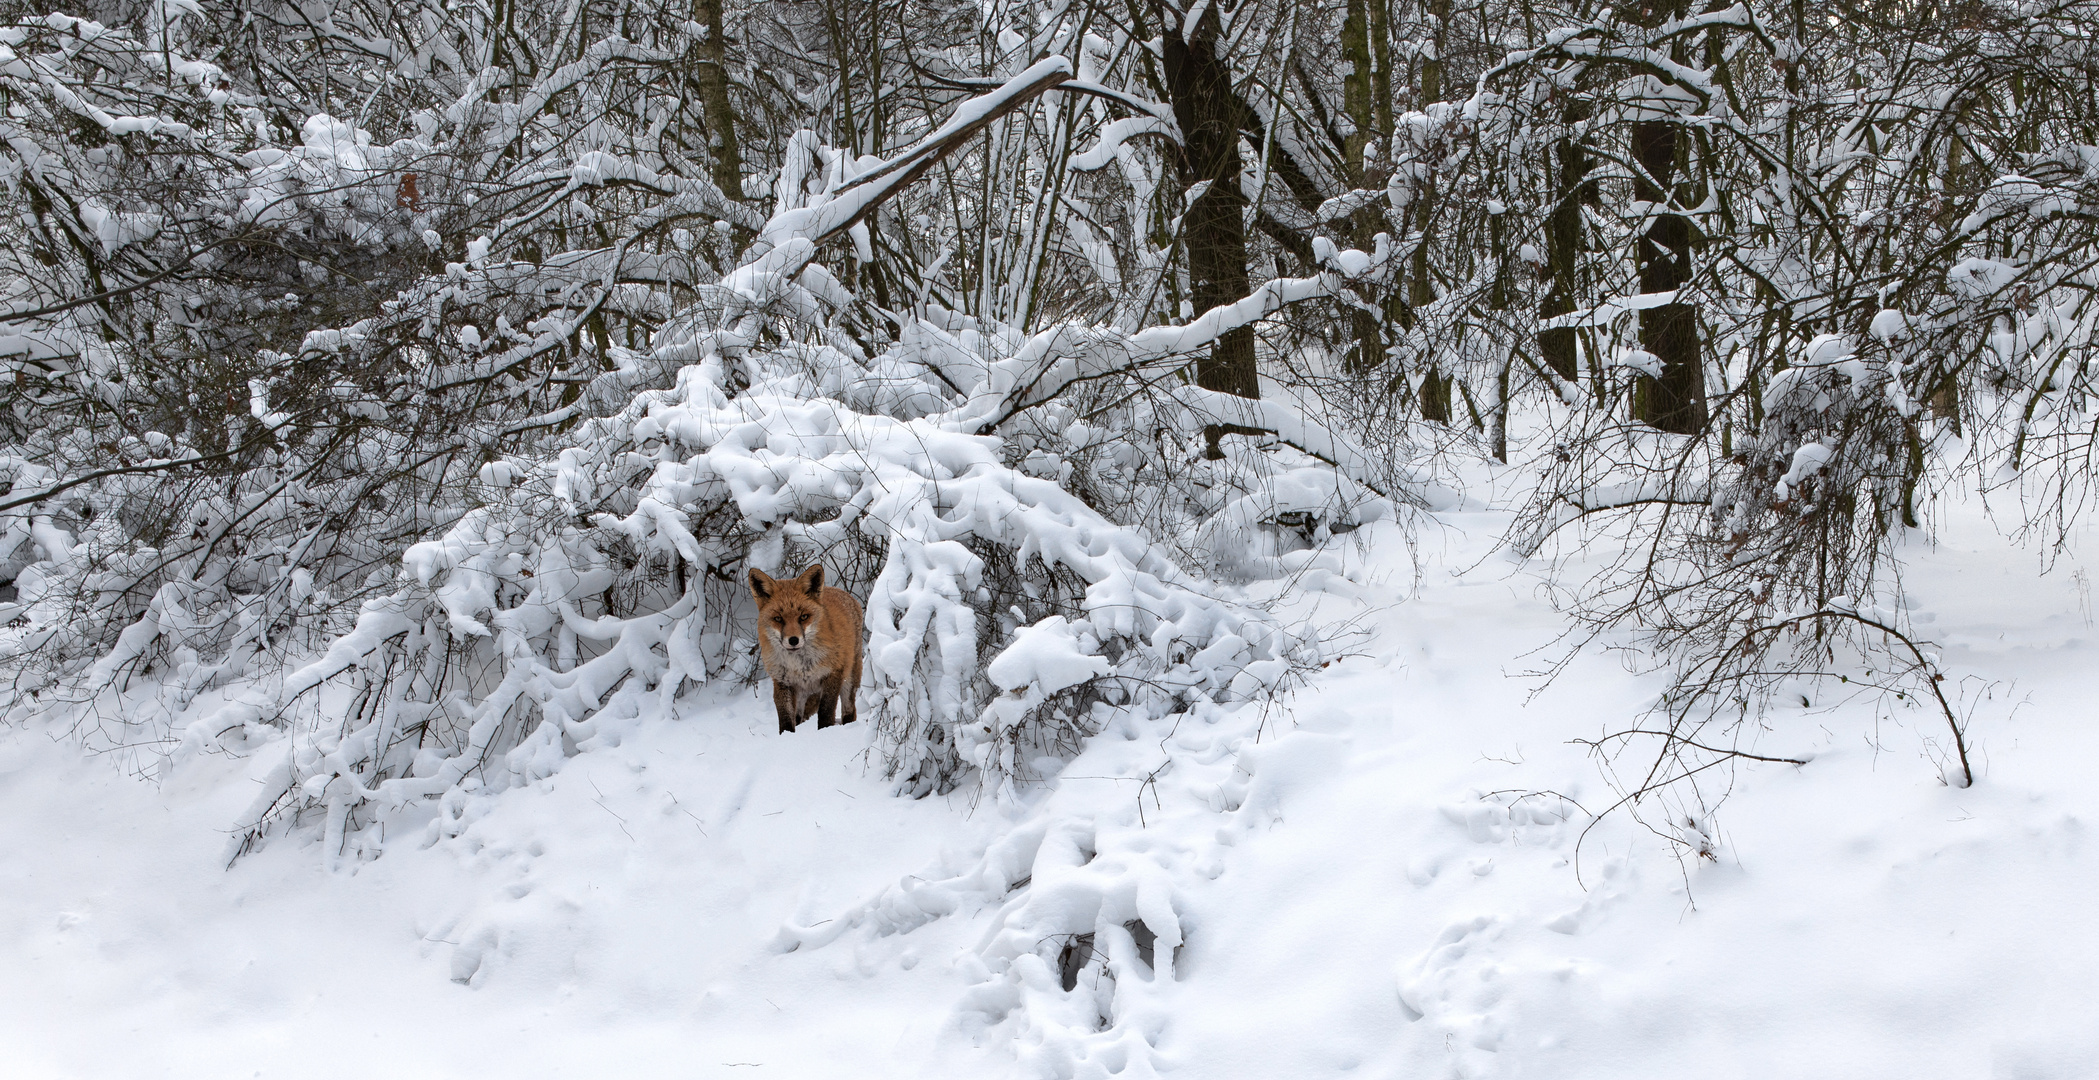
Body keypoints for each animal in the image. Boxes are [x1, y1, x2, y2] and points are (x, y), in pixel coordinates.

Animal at [747, 566, 860, 733]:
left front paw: (824, 732)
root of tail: (841, 591)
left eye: (803, 617)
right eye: (778, 619)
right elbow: (786, 720)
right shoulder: (782, 681)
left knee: (849, 711)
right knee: (798, 717)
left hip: (849, 680)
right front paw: (786, 737)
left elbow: (826, 713)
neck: (800, 665)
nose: (793, 640)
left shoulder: (833, 674)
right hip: (801, 694)